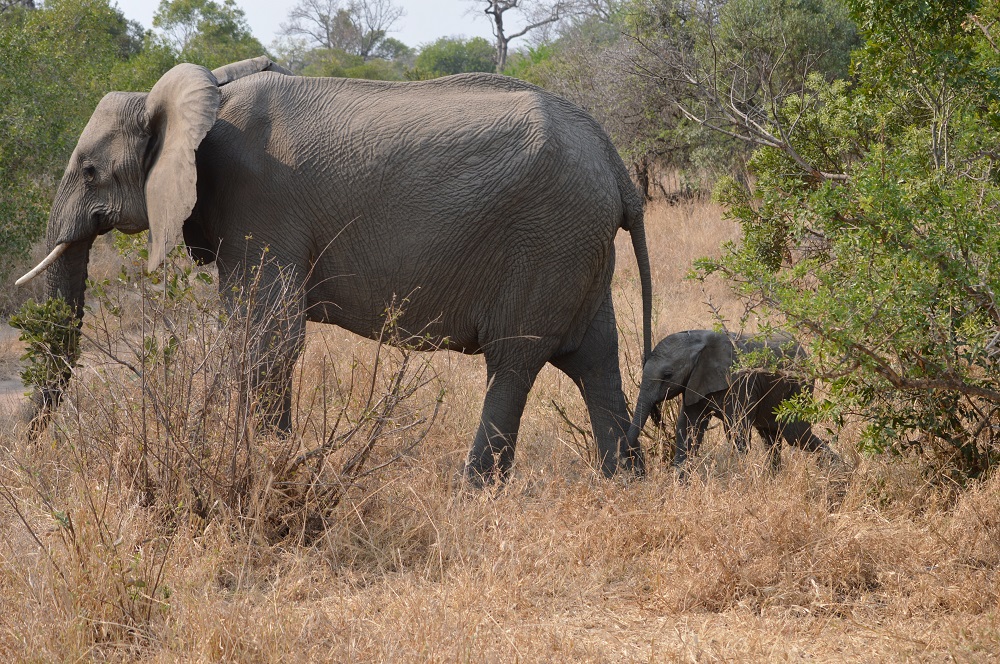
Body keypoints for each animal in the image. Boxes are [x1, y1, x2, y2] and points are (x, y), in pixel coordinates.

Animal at [16, 57, 653, 485]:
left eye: (90, 171)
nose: (28, 454)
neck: (203, 97)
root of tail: (617, 167)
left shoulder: (259, 202)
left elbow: (267, 339)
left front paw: (263, 463)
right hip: (575, 244)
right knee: (595, 361)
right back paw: (626, 483)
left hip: (547, 236)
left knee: (514, 362)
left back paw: (473, 495)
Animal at [625, 330, 837, 473]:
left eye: (668, 375)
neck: (699, 341)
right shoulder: (694, 382)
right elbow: (688, 430)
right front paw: (680, 485)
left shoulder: (739, 383)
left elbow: (737, 433)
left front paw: (737, 477)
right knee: (771, 437)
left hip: (800, 386)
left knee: (795, 434)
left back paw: (837, 469)